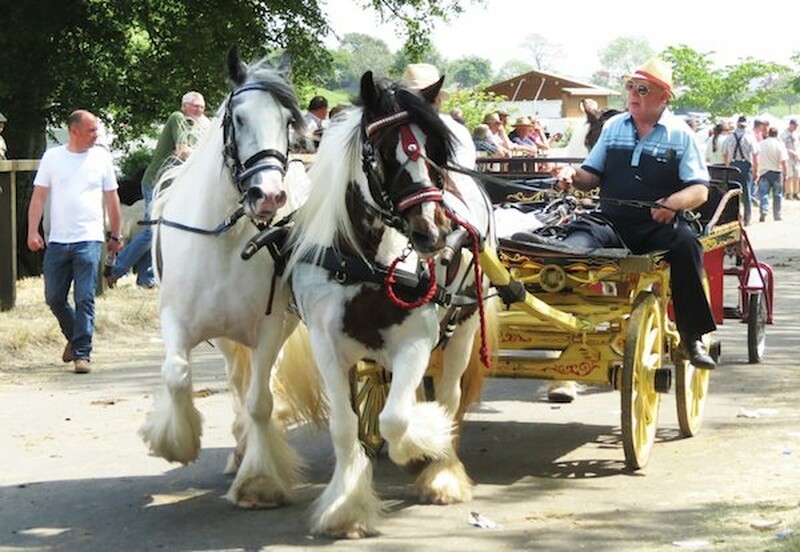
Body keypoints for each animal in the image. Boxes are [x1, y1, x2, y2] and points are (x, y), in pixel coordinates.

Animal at [139, 50, 324, 508]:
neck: (224, 240)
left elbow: (260, 401)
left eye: (286, 121)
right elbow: (176, 374)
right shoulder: (176, 319)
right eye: (237, 118)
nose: (268, 195)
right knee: (235, 381)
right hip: (225, 336)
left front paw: (260, 481)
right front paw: (176, 442)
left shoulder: (271, 327)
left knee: (254, 387)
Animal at [284, 71, 496, 536]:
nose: (433, 234)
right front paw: (346, 506)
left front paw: (423, 447)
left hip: (465, 326)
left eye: (435, 151)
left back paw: (442, 472)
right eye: (381, 154)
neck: (364, 262)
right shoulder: (328, 346)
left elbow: (397, 419)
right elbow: (345, 425)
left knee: (449, 395)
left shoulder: (416, 341)